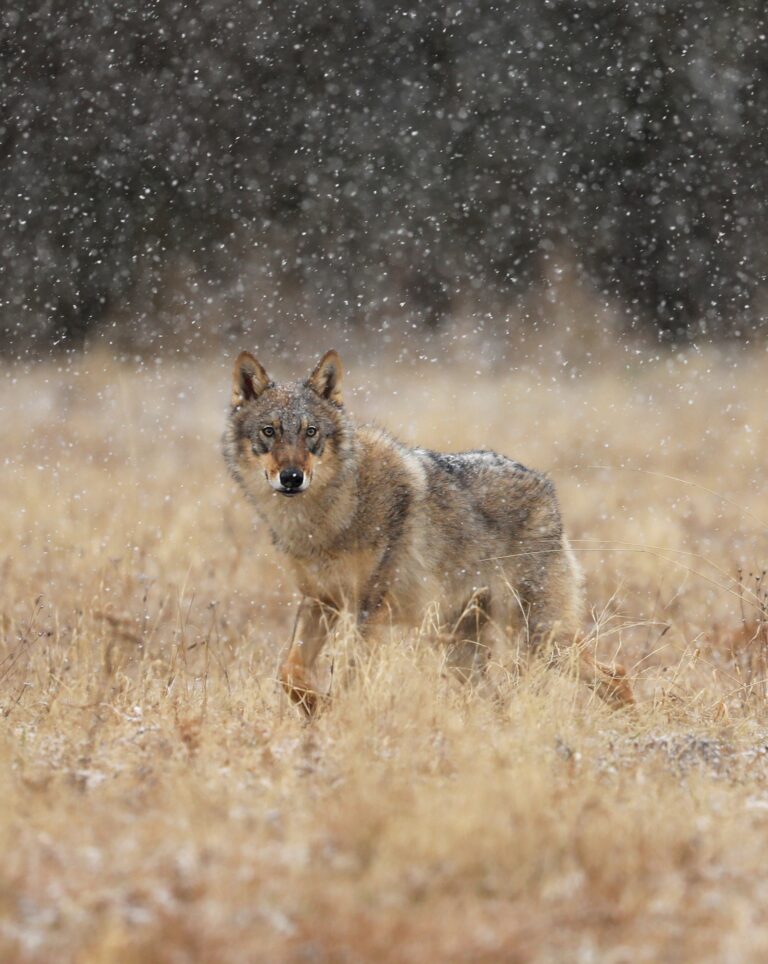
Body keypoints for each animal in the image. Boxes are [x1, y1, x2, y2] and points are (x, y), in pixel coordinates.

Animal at [222, 350, 632, 712]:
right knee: (502, 699)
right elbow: (289, 672)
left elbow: (350, 678)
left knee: (617, 675)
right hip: (464, 652)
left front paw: (332, 711)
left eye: (311, 432)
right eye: (269, 432)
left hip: (540, 637)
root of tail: (546, 485)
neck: (325, 520)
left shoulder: (369, 610)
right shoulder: (320, 601)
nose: (292, 478)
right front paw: (314, 708)